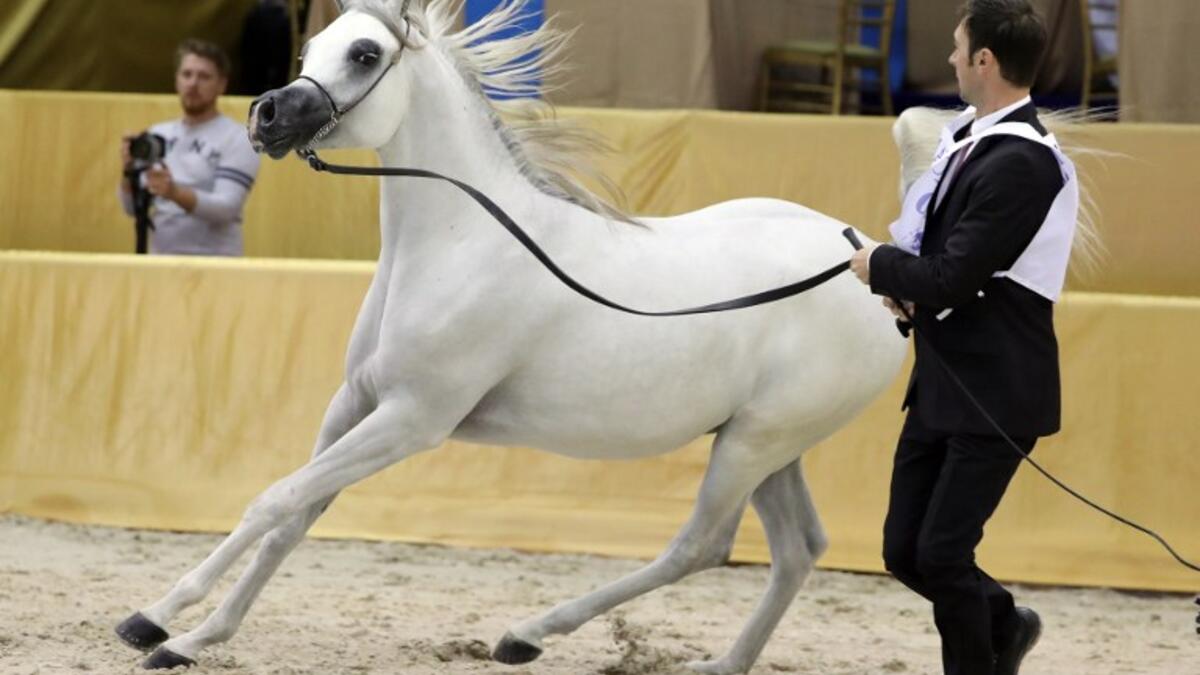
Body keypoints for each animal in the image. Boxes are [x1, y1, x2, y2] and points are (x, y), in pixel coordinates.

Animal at [114, 0, 909, 671]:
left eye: (366, 53)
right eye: (310, 47)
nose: (265, 115)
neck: (459, 243)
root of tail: (874, 267)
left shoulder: (412, 420)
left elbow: (273, 501)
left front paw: (154, 617)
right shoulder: (354, 404)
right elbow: (293, 517)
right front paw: (189, 638)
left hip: (754, 444)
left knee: (700, 547)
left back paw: (527, 634)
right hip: (768, 447)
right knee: (799, 550)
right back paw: (719, 664)